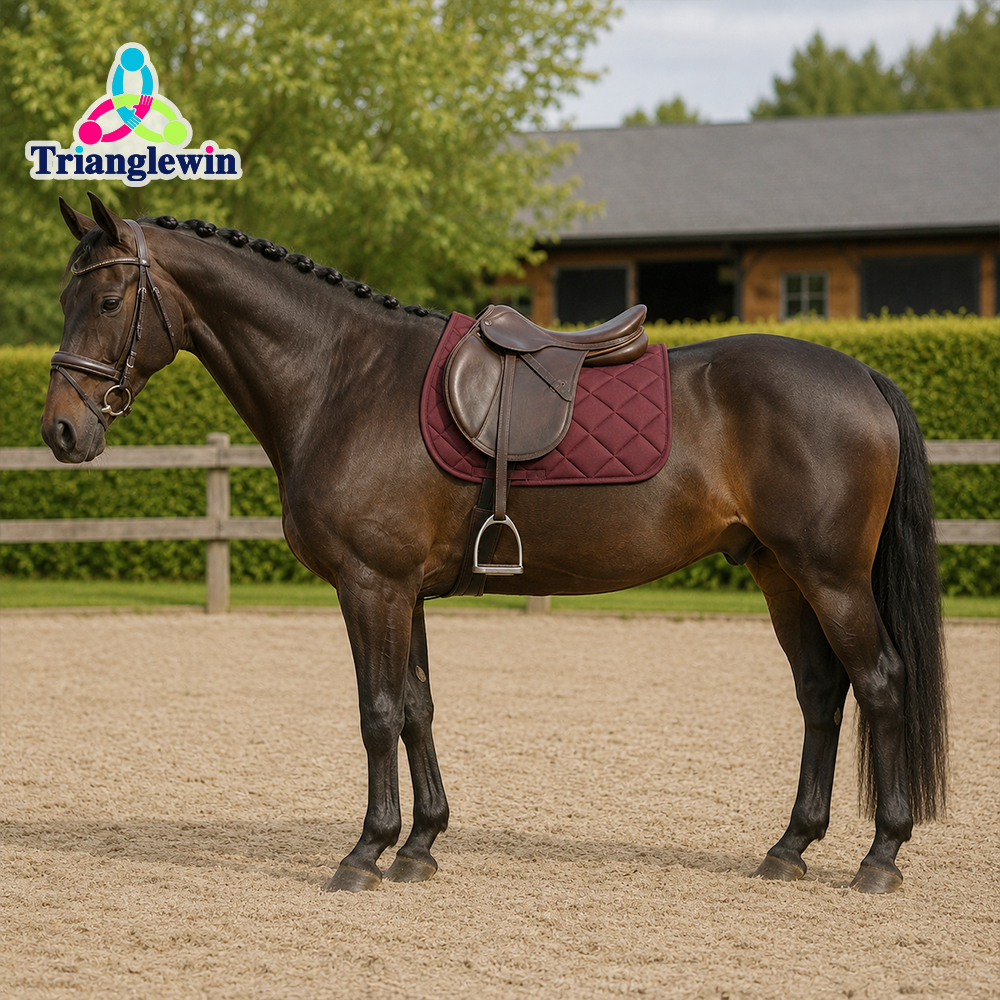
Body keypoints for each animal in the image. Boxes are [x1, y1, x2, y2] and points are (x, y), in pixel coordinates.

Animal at [41, 193, 947, 895]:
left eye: (110, 302)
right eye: (64, 300)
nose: (61, 431)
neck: (343, 378)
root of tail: (863, 376)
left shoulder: (370, 584)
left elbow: (376, 711)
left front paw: (366, 852)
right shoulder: (403, 590)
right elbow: (416, 706)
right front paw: (420, 845)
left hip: (829, 576)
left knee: (880, 683)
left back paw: (880, 856)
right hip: (779, 573)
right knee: (821, 693)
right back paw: (790, 847)